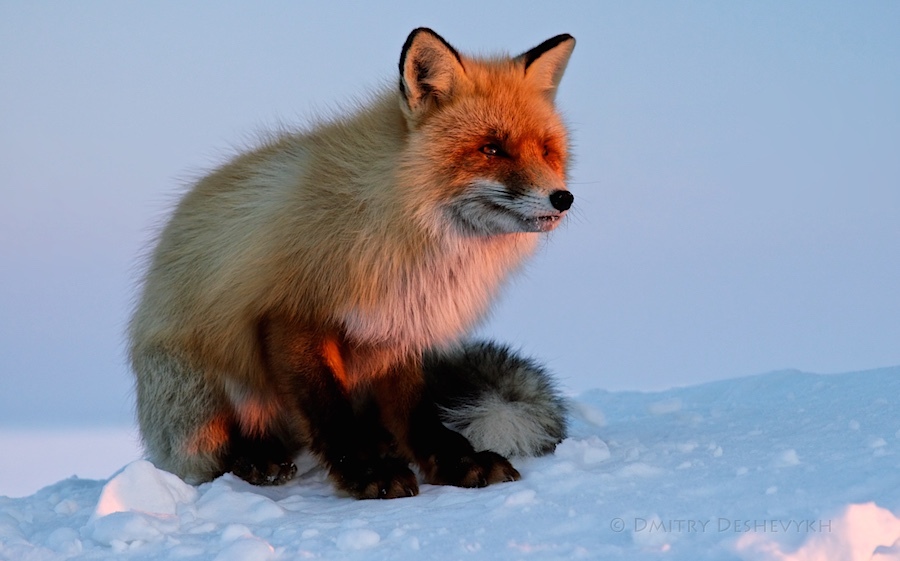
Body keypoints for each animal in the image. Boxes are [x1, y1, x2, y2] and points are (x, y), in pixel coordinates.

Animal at [128, 28, 576, 496]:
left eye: (547, 151)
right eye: (491, 148)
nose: (562, 198)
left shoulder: (400, 327)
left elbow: (417, 413)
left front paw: (455, 463)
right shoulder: (291, 314)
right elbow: (331, 413)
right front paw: (369, 474)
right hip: (201, 393)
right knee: (211, 457)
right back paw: (256, 460)